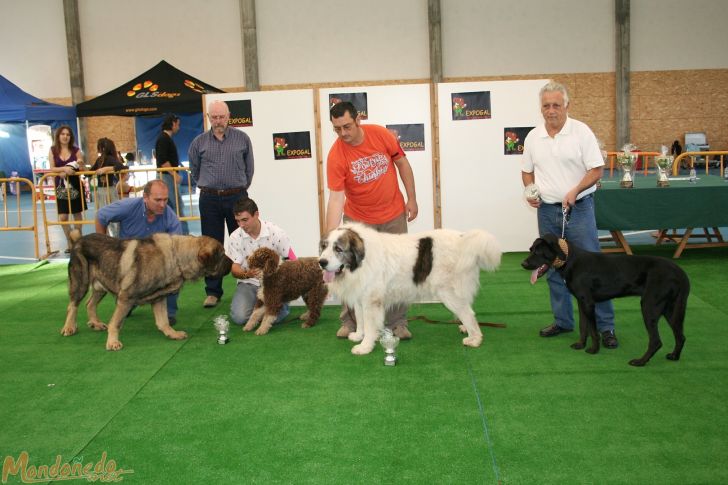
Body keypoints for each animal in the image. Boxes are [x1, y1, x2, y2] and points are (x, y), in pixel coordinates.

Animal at [318, 224, 500, 356]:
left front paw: (365, 347)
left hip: (448, 292)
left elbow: (370, 326)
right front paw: (358, 336)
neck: (361, 261)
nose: (321, 262)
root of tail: (463, 239)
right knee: (467, 309)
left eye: (338, 249)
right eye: (324, 247)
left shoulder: (372, 301)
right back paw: (464, 328)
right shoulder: (360, 298)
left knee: (468, 313)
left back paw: (474, 339)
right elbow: (360, 320)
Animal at [524, 233, 688, 364]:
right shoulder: (581, 302)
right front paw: (580, 345)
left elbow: (593, 330)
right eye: (531, 249)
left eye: (539, 252)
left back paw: (640, 361)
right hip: (671, 309)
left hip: (650, 306)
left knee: (656, 341)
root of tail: (679, 272)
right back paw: (674, 356)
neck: (570, 260)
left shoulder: (588, 303)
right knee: (680, 336)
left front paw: (593, 350)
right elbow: (583, 327)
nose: (523, 263)